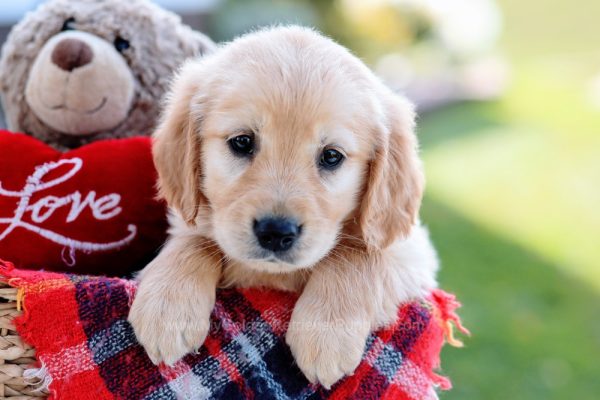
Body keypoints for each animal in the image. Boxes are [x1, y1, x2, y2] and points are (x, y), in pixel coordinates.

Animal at [127, 24, 436, 388]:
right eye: (242, 141)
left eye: (332, 156)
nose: (276, 232)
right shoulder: (191, 219)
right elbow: (195, 241)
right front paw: (167, 309)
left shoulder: (412, 251)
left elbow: (356, 254)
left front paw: (325, 333)